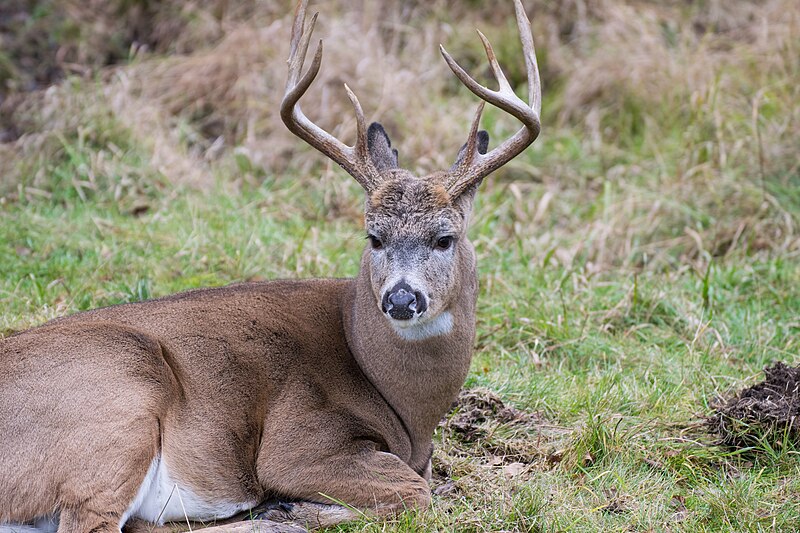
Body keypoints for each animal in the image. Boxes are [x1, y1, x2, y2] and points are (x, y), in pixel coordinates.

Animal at [0, 0, 544, 528]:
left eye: (445, 238)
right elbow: (415, 491)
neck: (408, 408)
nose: (401, 297)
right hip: (121, 396)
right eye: (374, 236)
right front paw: (294, 505)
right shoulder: (298, 441)